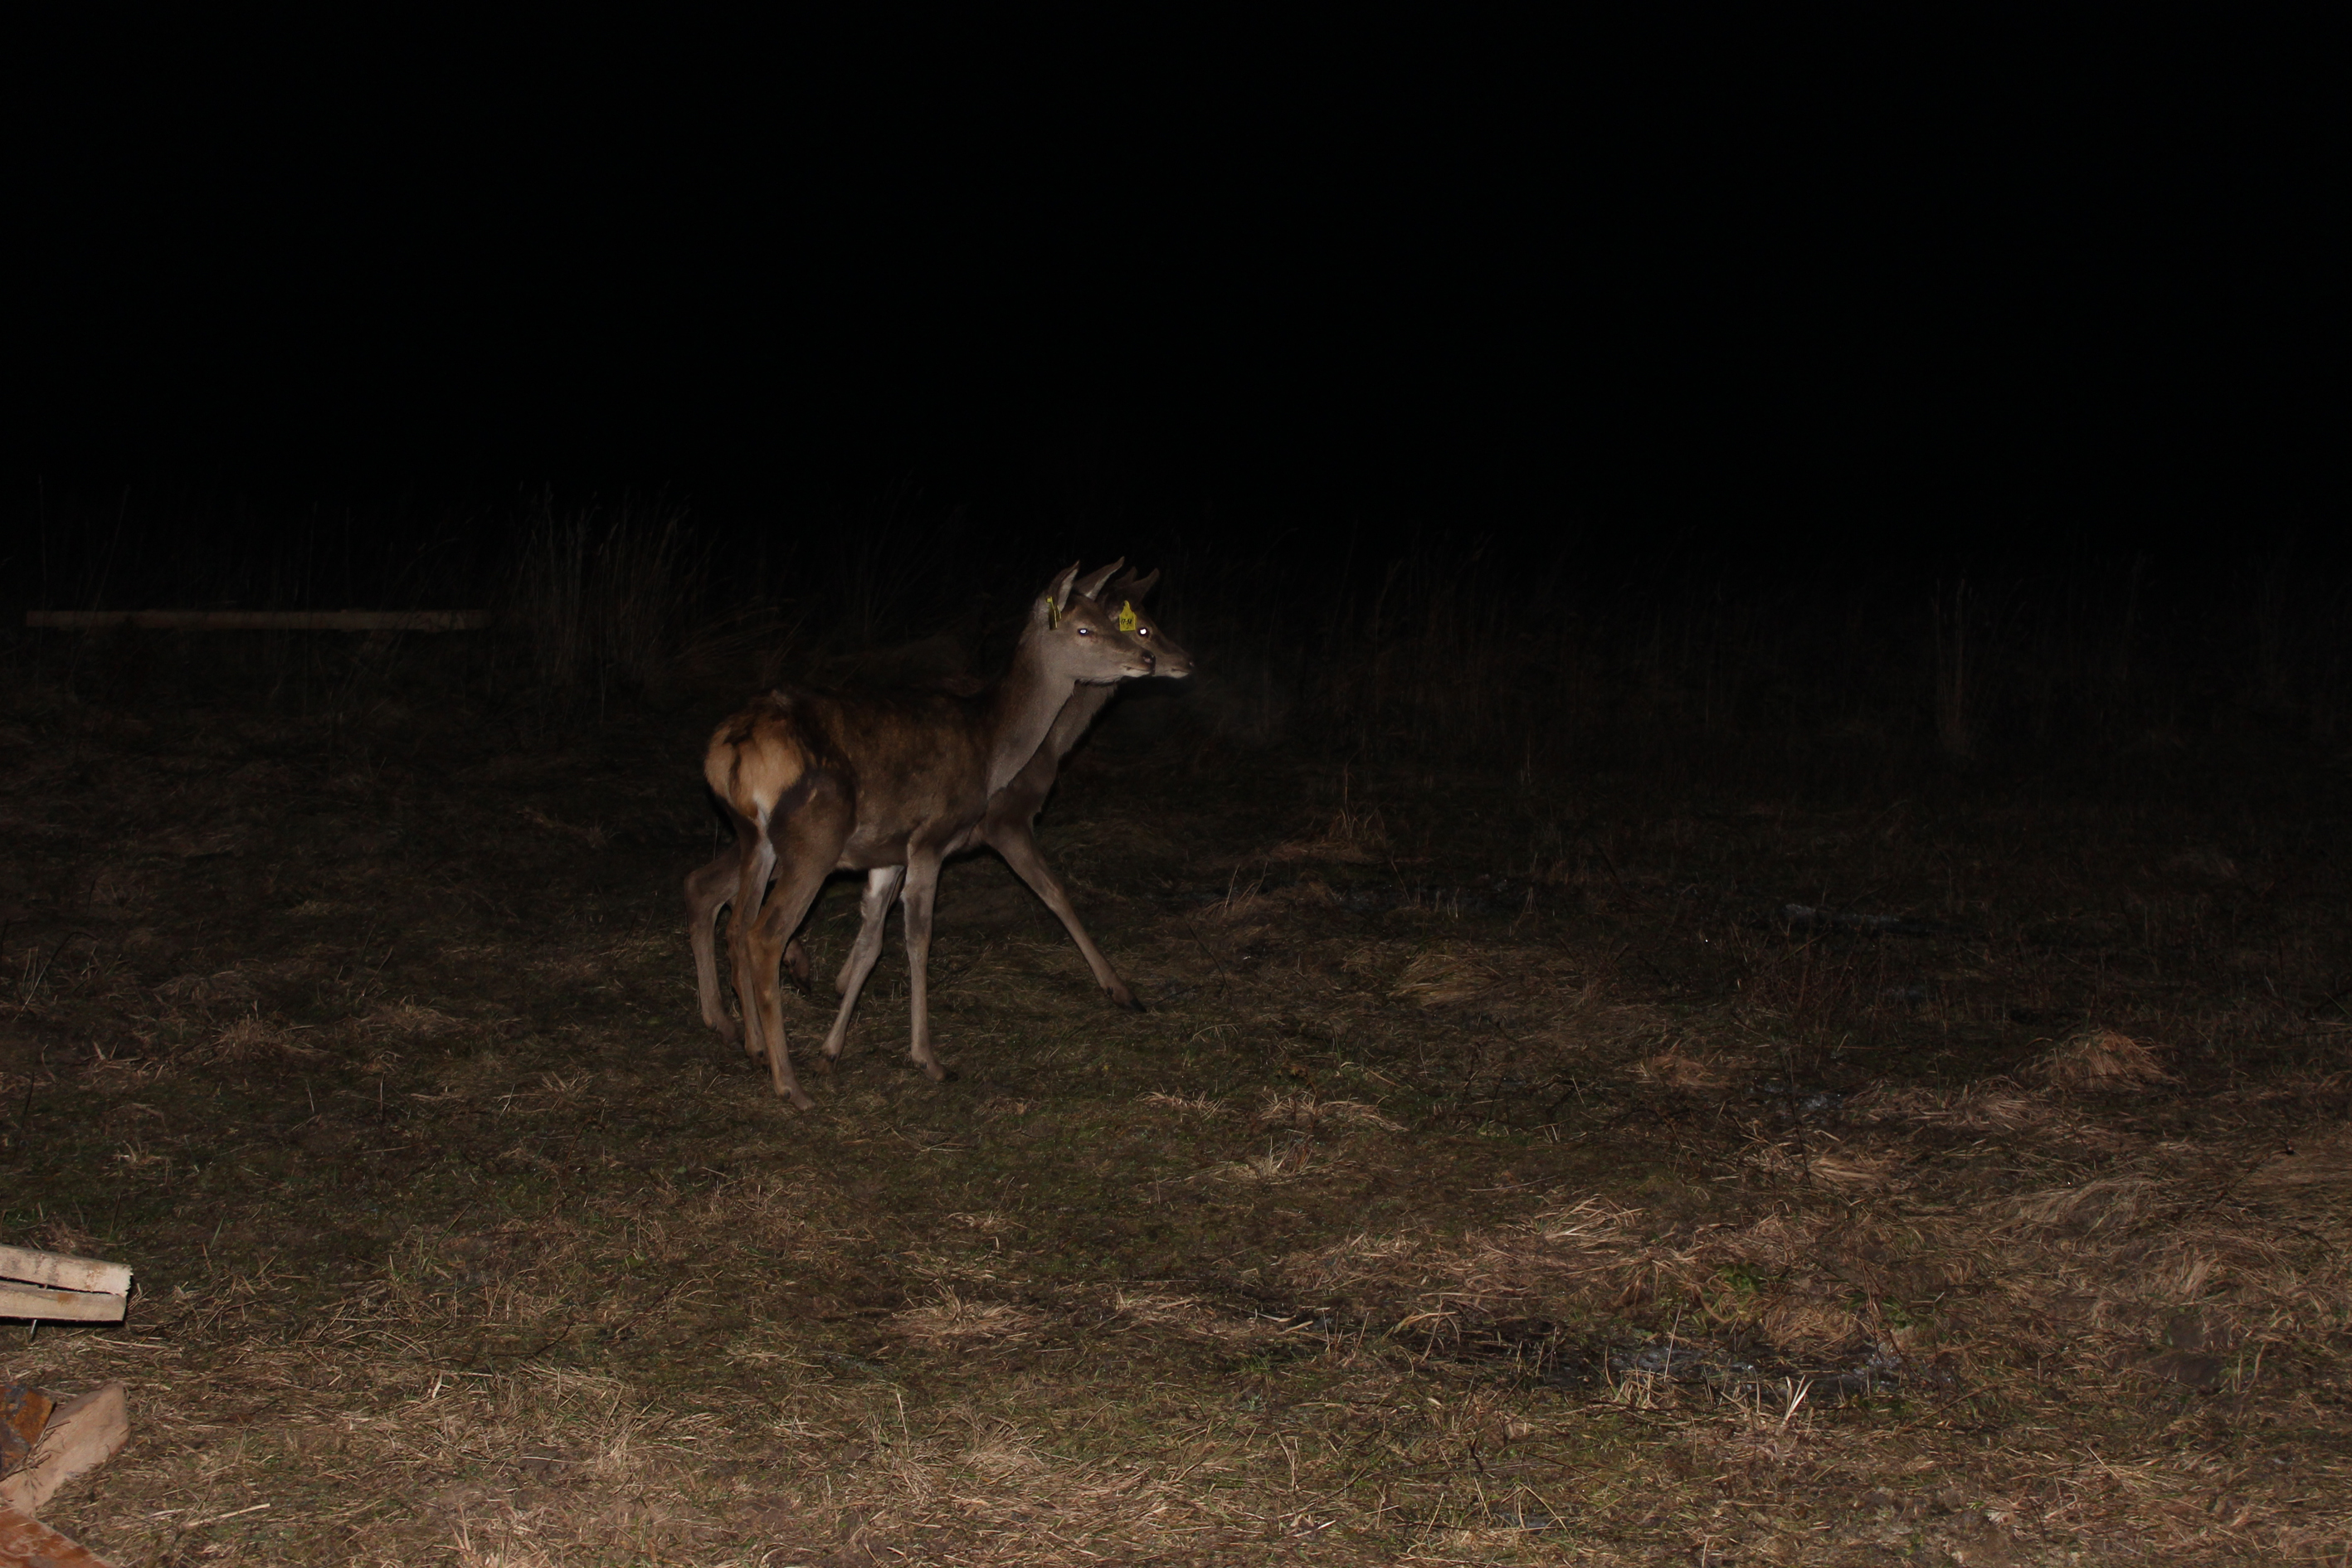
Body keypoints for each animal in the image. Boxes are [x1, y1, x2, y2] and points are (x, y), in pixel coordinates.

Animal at [691, 564, 1171, 1104]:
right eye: (1085, 629)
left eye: (1111, 621)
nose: (1147, 659)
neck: (991, 748)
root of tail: (729, 751)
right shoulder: (932, 838)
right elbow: (919, 936)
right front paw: (928, 1059)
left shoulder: (889, 852)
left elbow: (872, 941)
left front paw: (832, 1050)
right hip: (812, 843)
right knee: (764, 933)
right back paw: (788, 1083)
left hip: (756, 839)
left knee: (732, 916)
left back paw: (752, 1044)